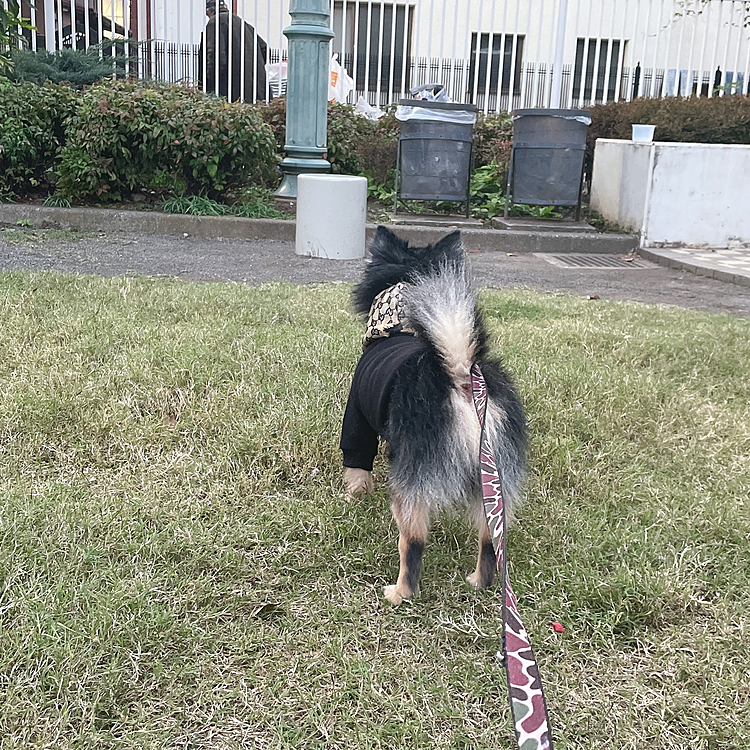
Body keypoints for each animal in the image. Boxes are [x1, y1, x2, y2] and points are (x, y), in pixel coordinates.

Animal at [340, 228, 528, 604]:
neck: (398, 325)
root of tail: (458, 374)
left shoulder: (357, 419)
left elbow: (356, 464)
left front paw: (353, 497)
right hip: (493, 479)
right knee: (490, 539)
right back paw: (479, 581)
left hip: (410, 481)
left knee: (412, 543)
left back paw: (400, 593)